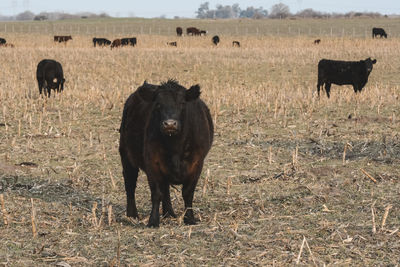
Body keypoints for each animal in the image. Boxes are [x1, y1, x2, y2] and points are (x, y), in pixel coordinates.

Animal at [119, 79, 212, 228]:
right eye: (158, 104)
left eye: (182, 103)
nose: (170, 124)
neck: (175, 147)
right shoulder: (152, 163)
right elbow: (156, 193)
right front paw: (153, 221)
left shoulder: (197, 163)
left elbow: (188, 193)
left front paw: (190, 219)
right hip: (126, 155)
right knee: (130, 184)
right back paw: (132, 215)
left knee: (166, 188)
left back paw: (169, 213)